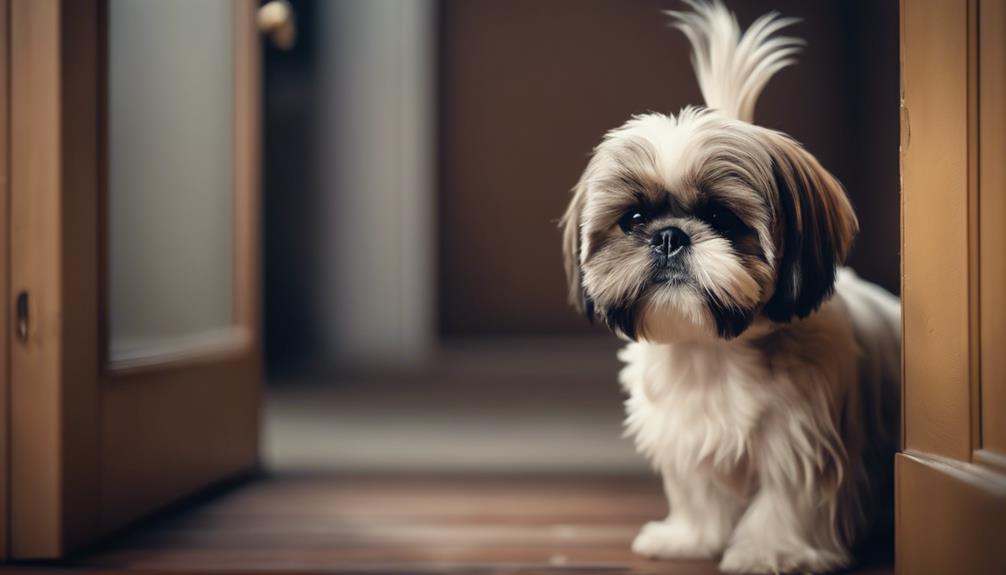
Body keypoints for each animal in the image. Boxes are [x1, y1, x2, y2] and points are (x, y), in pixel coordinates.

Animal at [563, 2, 901, 570]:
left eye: (722, 217)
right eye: (634, 219)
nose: (670, 237)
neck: (712, 354)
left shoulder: (802, 441)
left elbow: (789, 501)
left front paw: (772, 552)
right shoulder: (684, 435)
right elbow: (700, 491)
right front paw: (690, 537)